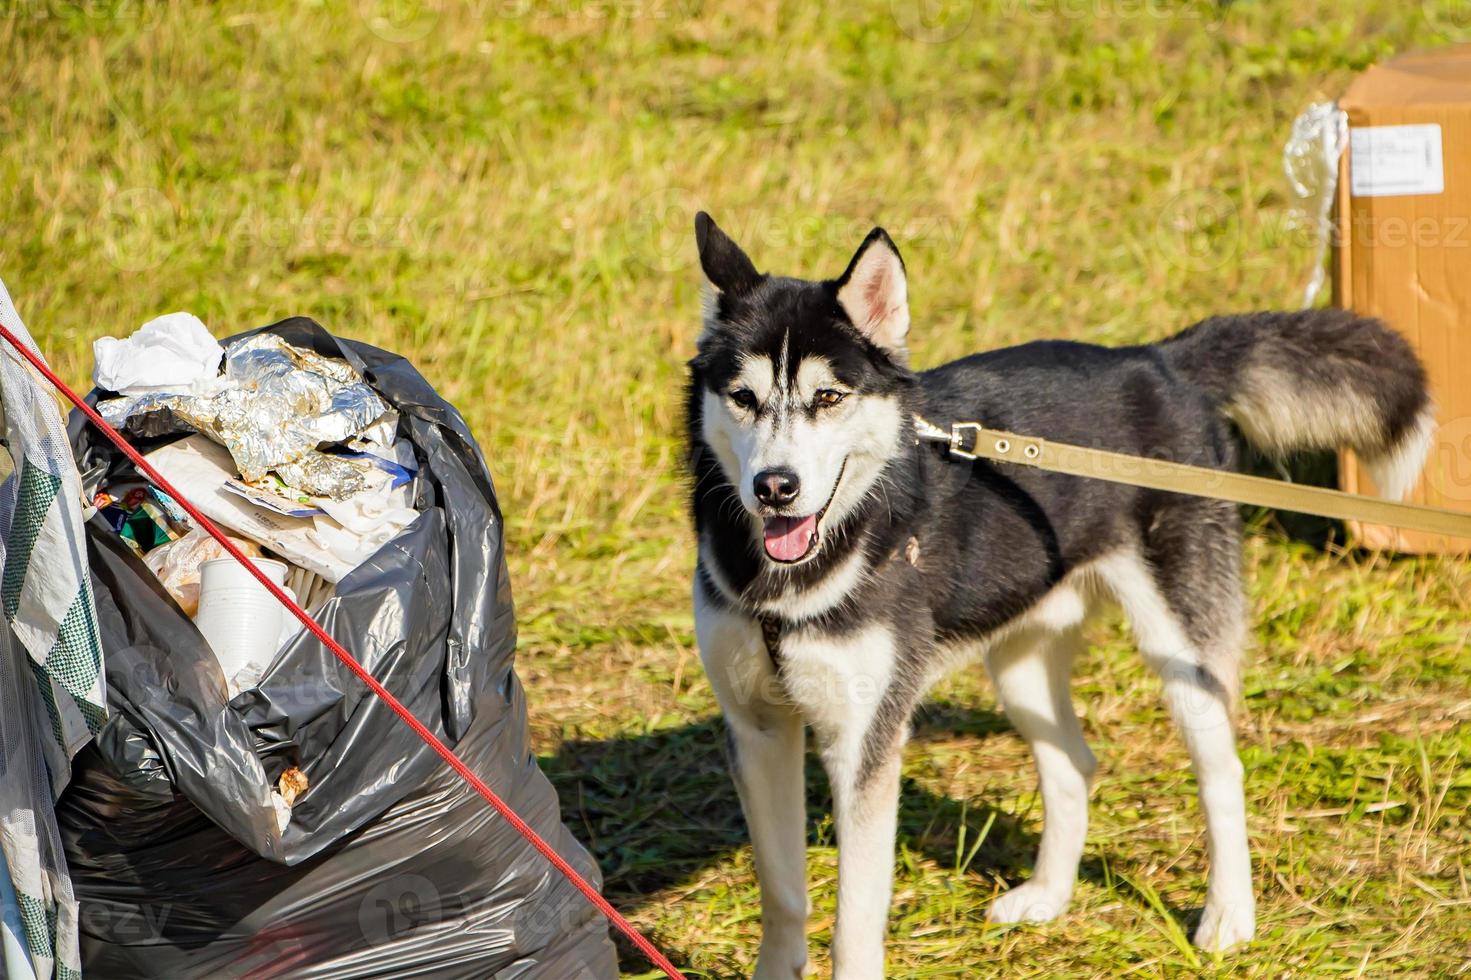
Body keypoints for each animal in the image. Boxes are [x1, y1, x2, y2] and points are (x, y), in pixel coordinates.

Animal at [691, 210, 1435, 971]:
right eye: (743, 399)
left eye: (828, 398)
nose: (774, 487)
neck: (795, 577)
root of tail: (1158, 361)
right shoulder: (758, 730)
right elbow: (782, 895)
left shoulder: (864, 743)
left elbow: (852, 923)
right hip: (1019, 661)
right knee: (1074, 765)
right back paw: (1047, 897)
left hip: (1182, 654)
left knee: (1221, 772)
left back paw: (1228, 916)